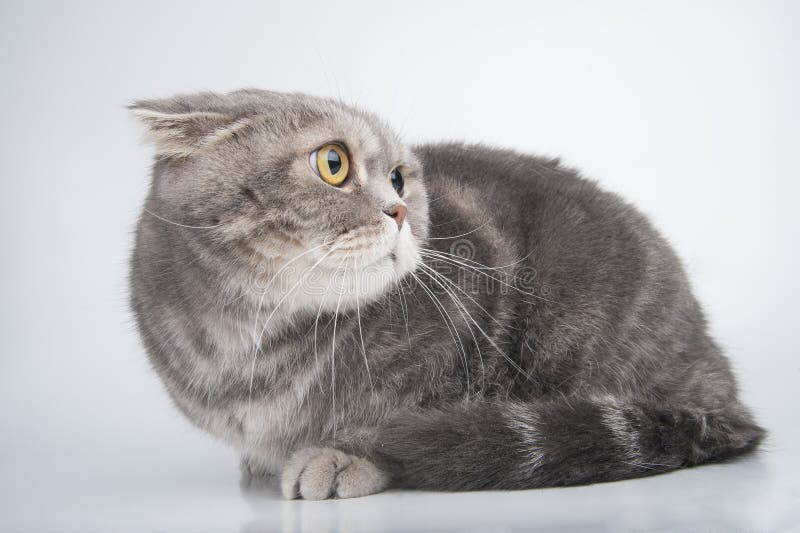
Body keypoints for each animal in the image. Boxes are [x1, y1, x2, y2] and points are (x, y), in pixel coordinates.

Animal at [130, 88, 764, 498]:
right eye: (333, 163)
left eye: (399, 178)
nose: (401, 211)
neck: (248, 346)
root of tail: (719, 383)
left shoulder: (459, 348)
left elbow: (392, 422)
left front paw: (344, 456)